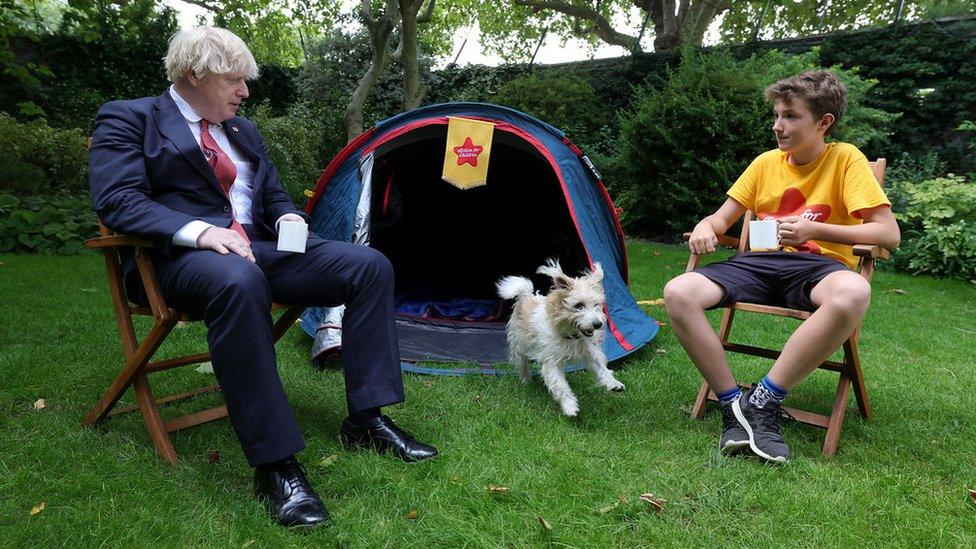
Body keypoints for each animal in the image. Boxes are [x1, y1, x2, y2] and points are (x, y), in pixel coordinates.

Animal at [496, 258, 624, 416]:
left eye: (596, 304)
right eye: (578, 305)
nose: (598, 324)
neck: (571, 334)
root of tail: (526, 295)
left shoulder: (590, 351)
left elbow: (601, 367)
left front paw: (613, 382)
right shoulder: (551, 362)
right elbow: (560, 385)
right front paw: (570, 406)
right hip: (519, 346)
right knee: (522, 364)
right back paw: (526, 381)